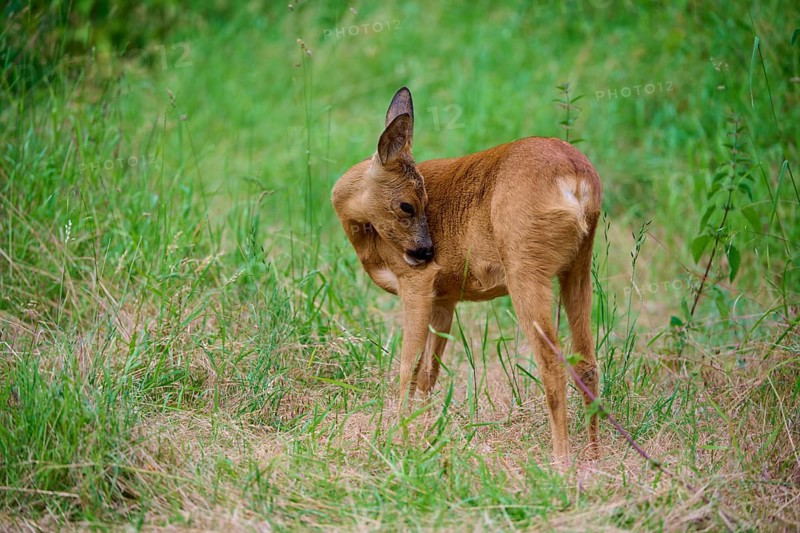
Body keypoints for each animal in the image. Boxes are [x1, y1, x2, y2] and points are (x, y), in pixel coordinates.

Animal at [331, 87, 602, 466]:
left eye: (418, 202)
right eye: (408, 205)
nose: (427, 252)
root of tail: (576, 180)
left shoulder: (417, 281)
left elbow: (407, 366)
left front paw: (396, 437)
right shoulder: (445, 296)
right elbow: (428, 372)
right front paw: (424, 432)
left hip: (525, 265)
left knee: (553, 362)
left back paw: (560, 461)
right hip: (579, 265)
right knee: (587, 362)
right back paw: (594, 457)